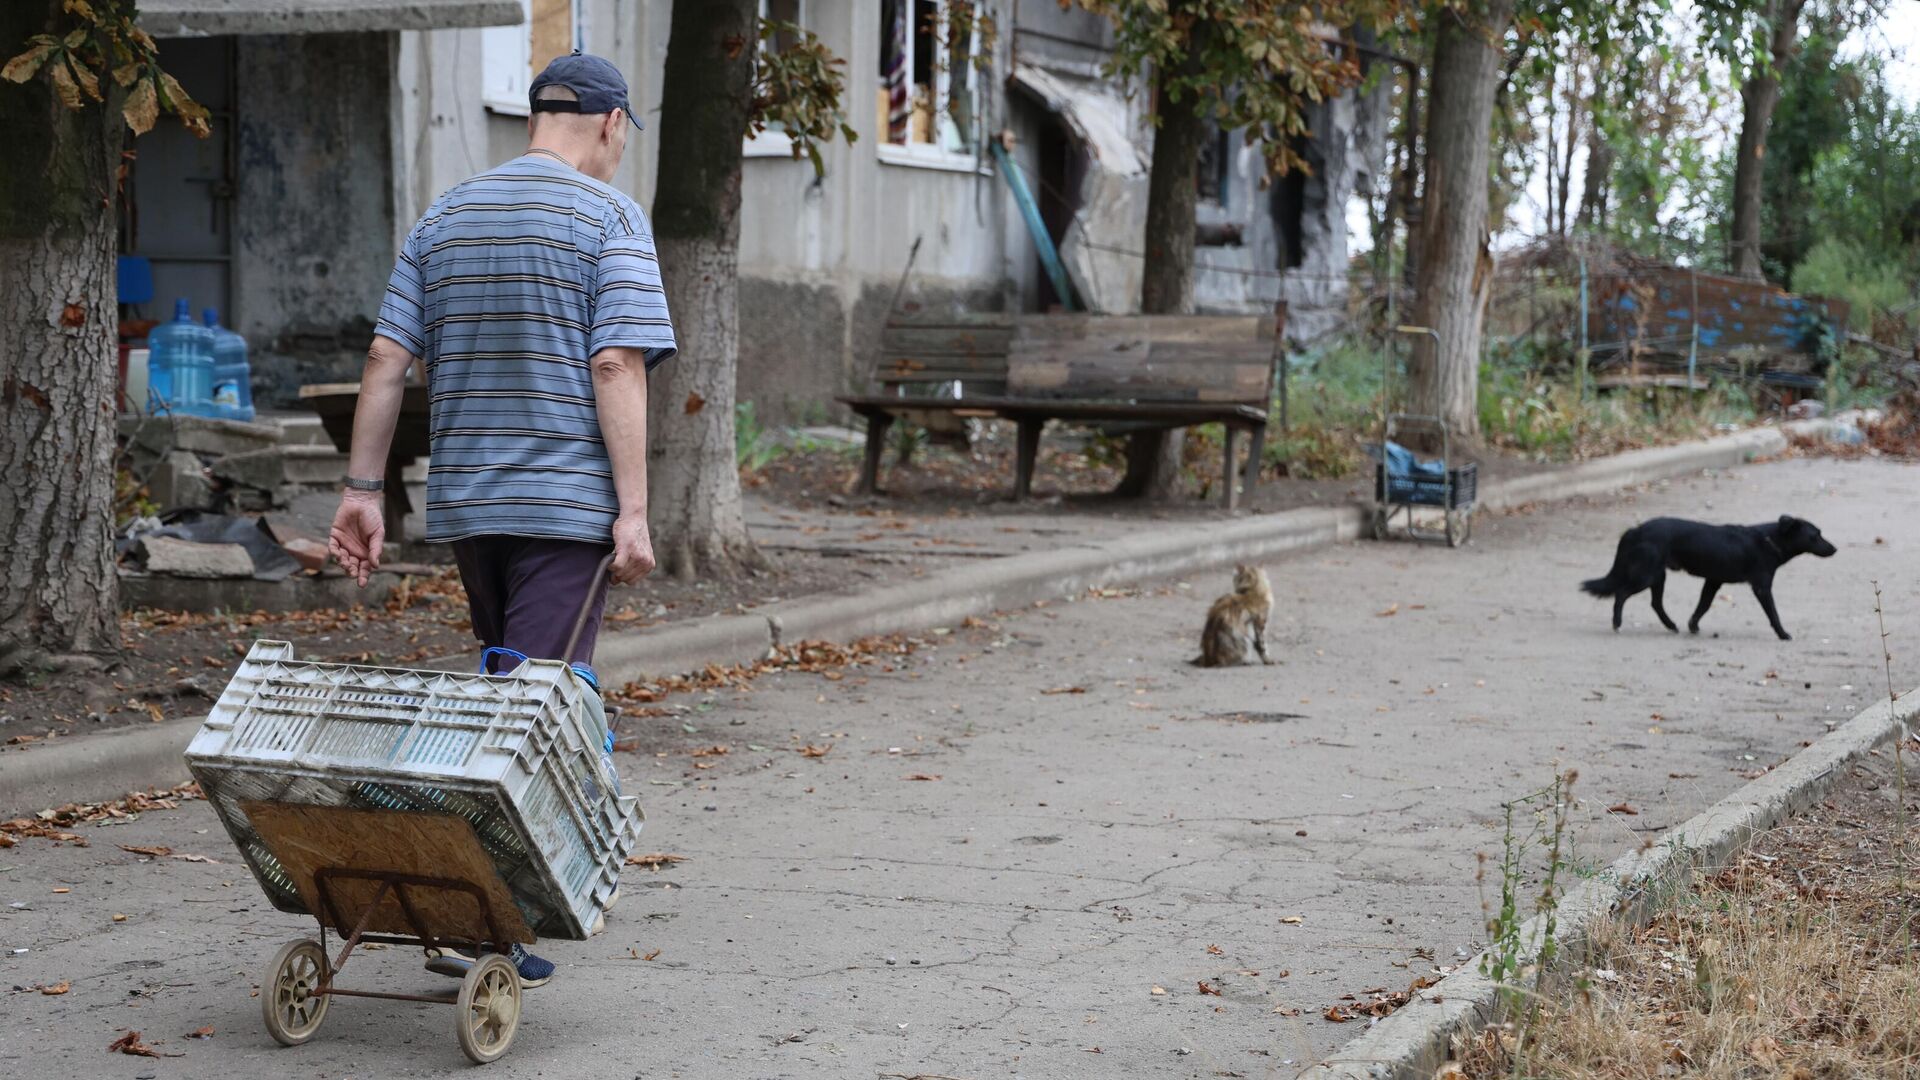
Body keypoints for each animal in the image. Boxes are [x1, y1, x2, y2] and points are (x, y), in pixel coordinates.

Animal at [1582, 515, 1835, 638]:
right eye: (1816, 535)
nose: (1835, 549)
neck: (1768, 540)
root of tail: (1636, 530)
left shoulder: (1713, 581)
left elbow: (1702, 606)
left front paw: (1692, 625)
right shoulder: (1762, 587)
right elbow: (1773, 613)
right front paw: (1783, 634)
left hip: (1657, 575)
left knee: (1655, 603)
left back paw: (1671, 625)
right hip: (1646, 574)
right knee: (1621, 593)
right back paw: (1617, 623)